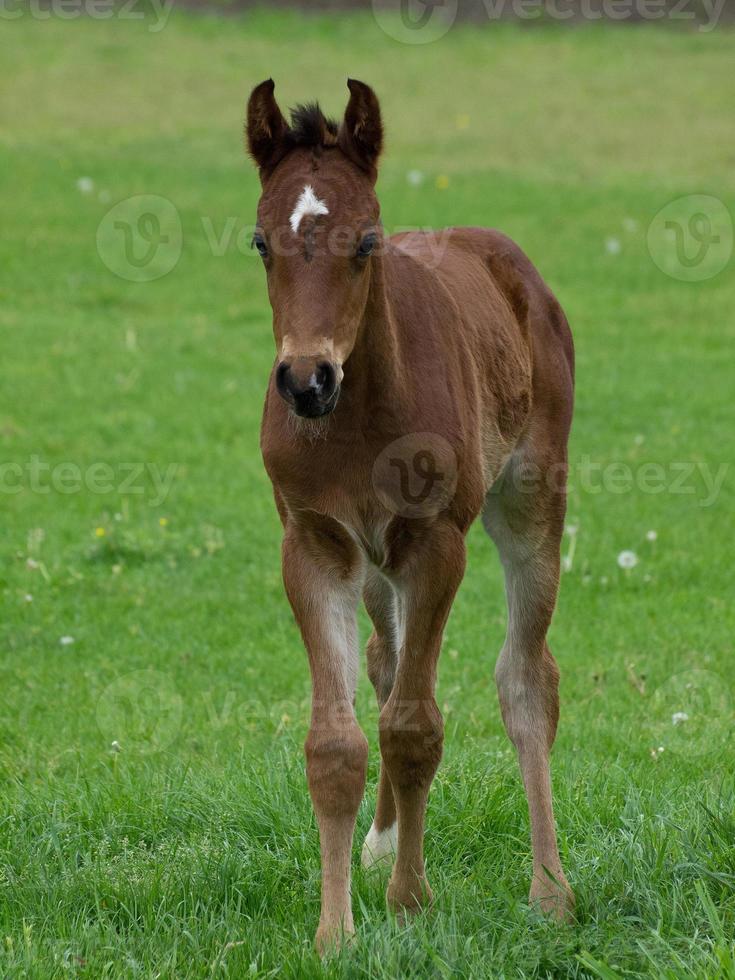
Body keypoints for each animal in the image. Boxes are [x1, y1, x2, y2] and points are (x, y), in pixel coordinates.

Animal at [246, 78, 576, 956]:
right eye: (260, 243)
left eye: (365, 242)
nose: (306, 381)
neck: (358, 421)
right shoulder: (315, 543)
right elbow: (337, 742)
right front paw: (334, 931)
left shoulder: (435, 545)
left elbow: (413, 729)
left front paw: (409, 901)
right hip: (375, 567)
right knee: (385, 661)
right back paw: (380, 840)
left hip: (530, 497)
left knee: (526, 680)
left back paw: (550, 891)